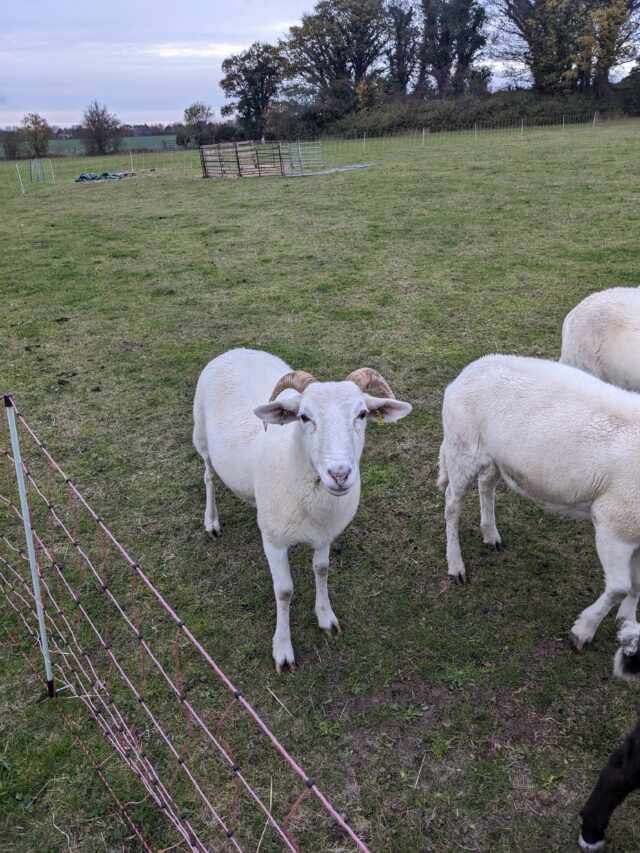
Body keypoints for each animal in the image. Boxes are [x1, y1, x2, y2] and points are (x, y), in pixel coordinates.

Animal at [193, 348, 412, 672]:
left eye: (362, 414)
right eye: (305, 417)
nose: (339, 474)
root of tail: (237, 350)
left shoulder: (325, 534)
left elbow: (321, 570)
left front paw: (325, 616)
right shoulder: (273, 541)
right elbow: (284, 591)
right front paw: (283, 649)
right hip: (202, 438)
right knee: (208, 476)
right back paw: (211, 521)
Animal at [438, 354, 640, 656]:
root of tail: (473, 368)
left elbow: (636, 584)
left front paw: (627, 622)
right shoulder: (614, 522)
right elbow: (619, 587)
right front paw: (583, 631)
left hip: (496, 455)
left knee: (486, 484)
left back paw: (491, 535)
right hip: (462, 446)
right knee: (452, 504)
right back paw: (455, 564)